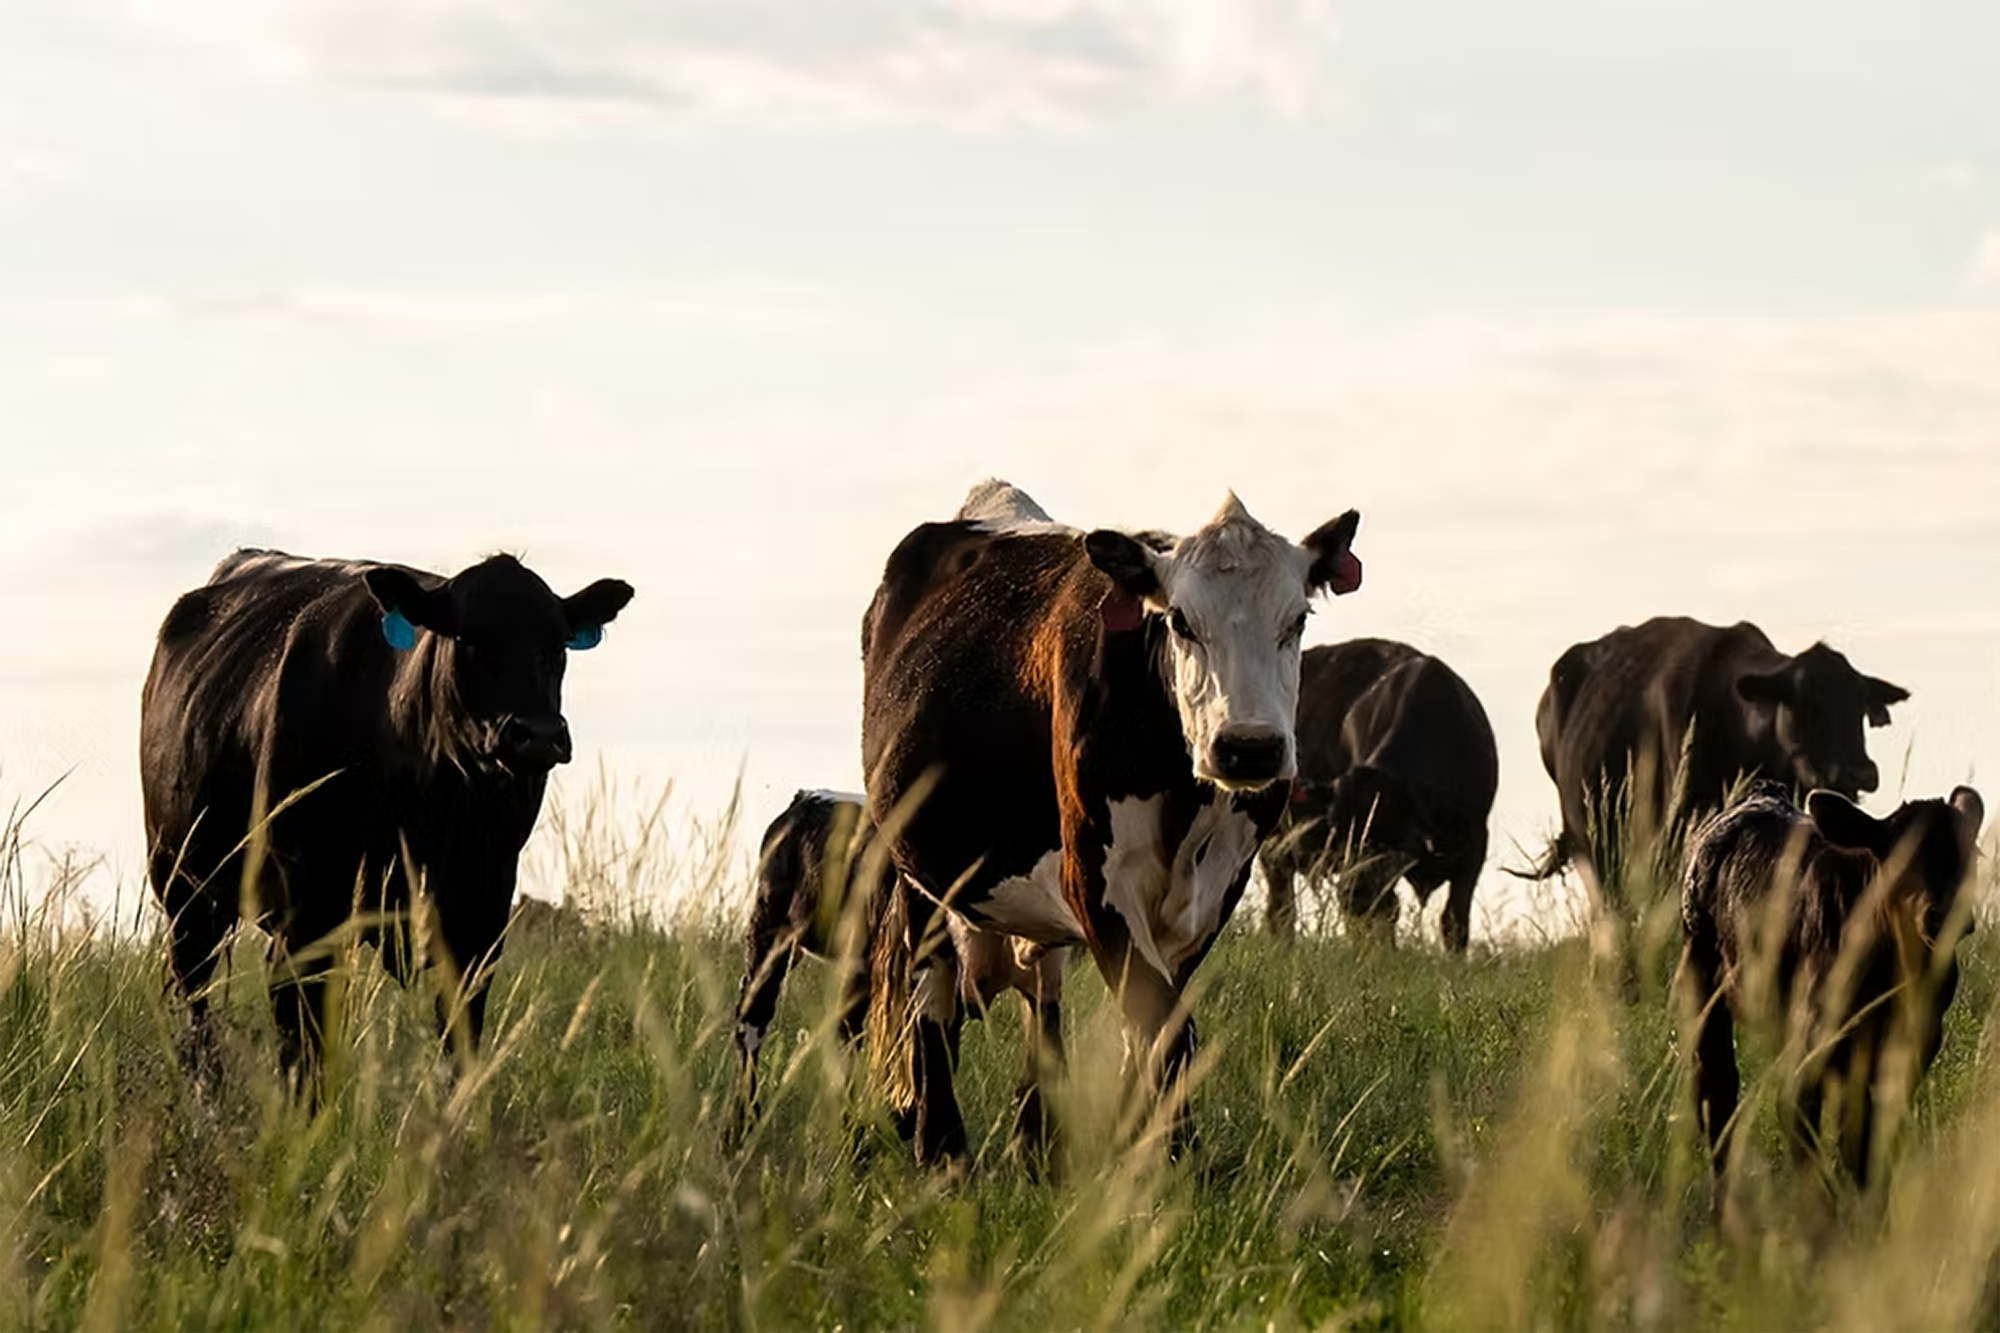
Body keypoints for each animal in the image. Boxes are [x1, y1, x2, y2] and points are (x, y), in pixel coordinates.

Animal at [140, 548, 633, 1098]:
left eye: (557, 644)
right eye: (469, 638)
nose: (539, 735)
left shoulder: (480, 912)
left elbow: (460, 1046)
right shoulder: (309, 911)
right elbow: (304, 1049)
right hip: (183, 886)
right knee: (195, 999)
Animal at [729, 788, 1069, 1155]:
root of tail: (803, 798)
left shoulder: (1043, 985)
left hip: (857, 968)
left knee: (845, 1033)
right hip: (770, 935)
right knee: (753, 1018)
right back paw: (741, 1127)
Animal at [861, 480, 1362, 1164]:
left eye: (1298, 620)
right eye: (1180, 621)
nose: (1249, 747)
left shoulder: (1215, 891)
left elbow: (1153, 1028)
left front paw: (1145, 1148)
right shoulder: (1095, 880)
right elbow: (1162, 1027)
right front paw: (1170, 1158)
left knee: (1042, 1003)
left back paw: (1033, 1144)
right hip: (921, 876)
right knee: (933, 998)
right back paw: (942, 1149)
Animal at [1258, 639, 1496, 951]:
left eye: (1385, 833)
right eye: (1339, 832)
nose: (1352, 889)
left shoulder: (1474, 847)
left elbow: (1454, 924)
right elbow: (1387, 911)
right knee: (1282, 907)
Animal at [1678, 779, 1984, 1209]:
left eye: (1969, 855)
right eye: (1897, 858)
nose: (1944, 914)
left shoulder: (1912, 1046)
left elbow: (1870, 1144)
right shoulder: (1811, 1048)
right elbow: (1807, 1139)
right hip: (1700, 983)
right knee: (1716, 1093)